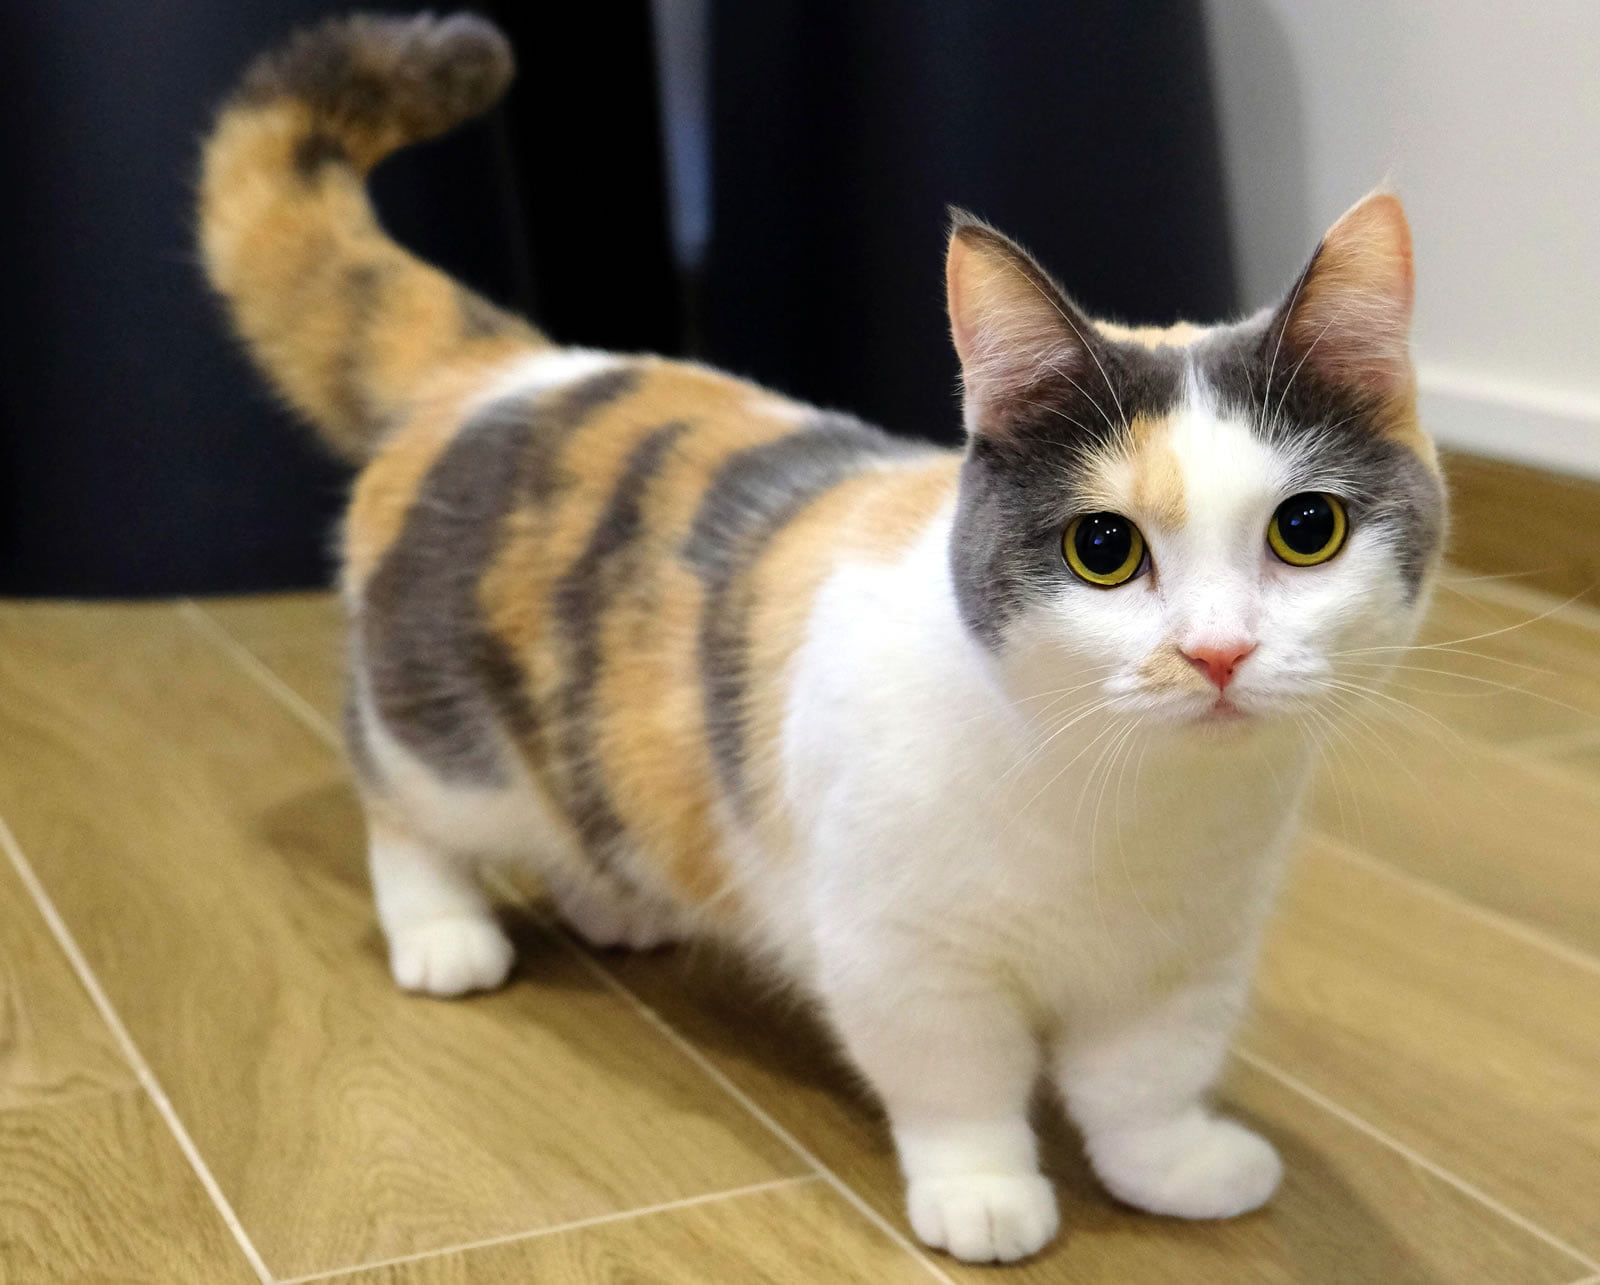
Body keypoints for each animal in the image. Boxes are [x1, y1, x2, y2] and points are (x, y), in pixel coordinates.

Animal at [200, 12, 1452, 1267]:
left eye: (1306, 529)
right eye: (1103, 546)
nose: (1216, 652)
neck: (1134, 817)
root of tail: (513, 368)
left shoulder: (1187, 960)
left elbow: (1144, 1078)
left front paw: (1177, 1166)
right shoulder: (902, 954)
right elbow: (959, 1083)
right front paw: (985, 1194)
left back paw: (621, 903)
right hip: (438, 739)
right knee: (399, 806)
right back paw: (444, 932)